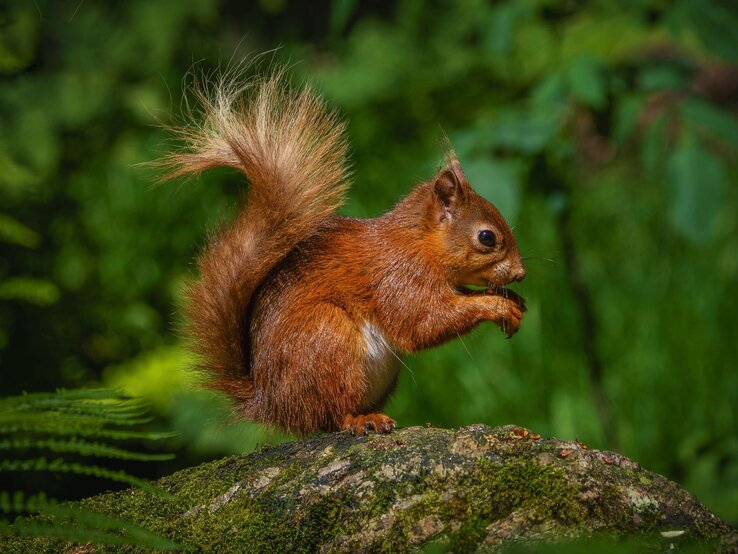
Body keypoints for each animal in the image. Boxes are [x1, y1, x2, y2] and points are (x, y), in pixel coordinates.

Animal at [164, 71, 528, 436]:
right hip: (328, 339)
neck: (417, 243)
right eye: (487, 238)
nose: (521, 274)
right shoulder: (399, 279)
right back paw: (362, 420)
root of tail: (273, 404)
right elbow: (424, 323)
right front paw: (496, 306)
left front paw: (512, 300)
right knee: (332, 416)